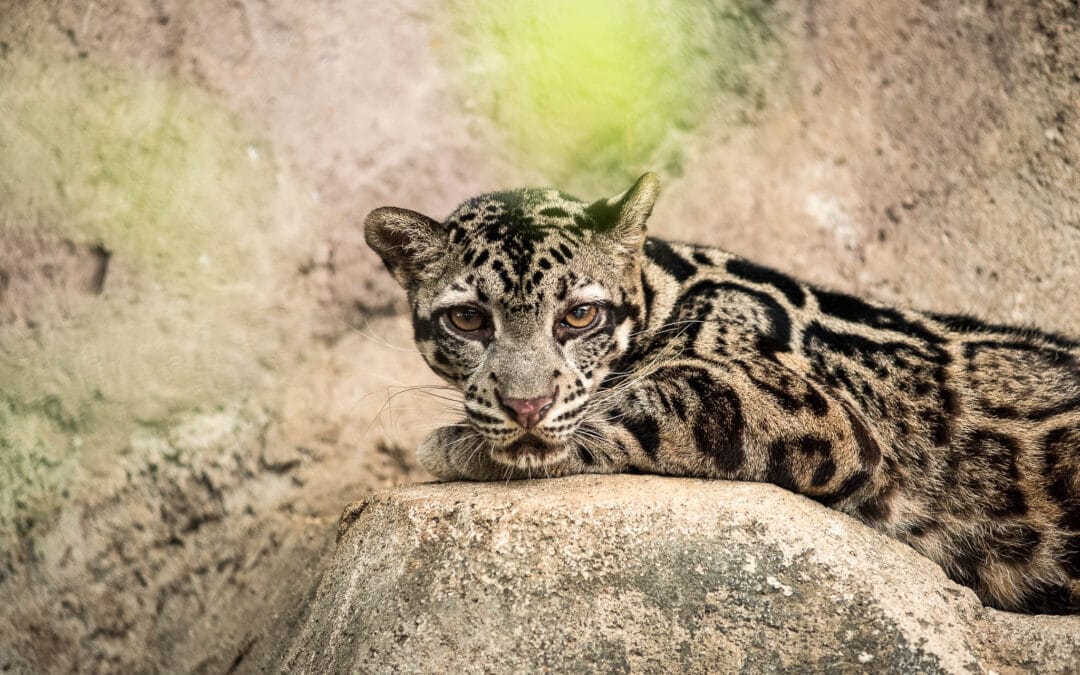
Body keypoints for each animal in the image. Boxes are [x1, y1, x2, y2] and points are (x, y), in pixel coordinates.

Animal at [364, 172, 1080, 615]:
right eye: (467, 320)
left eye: (579, 316)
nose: (525, 406)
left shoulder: (808, 408)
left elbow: (644, 402)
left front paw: (461, 443)